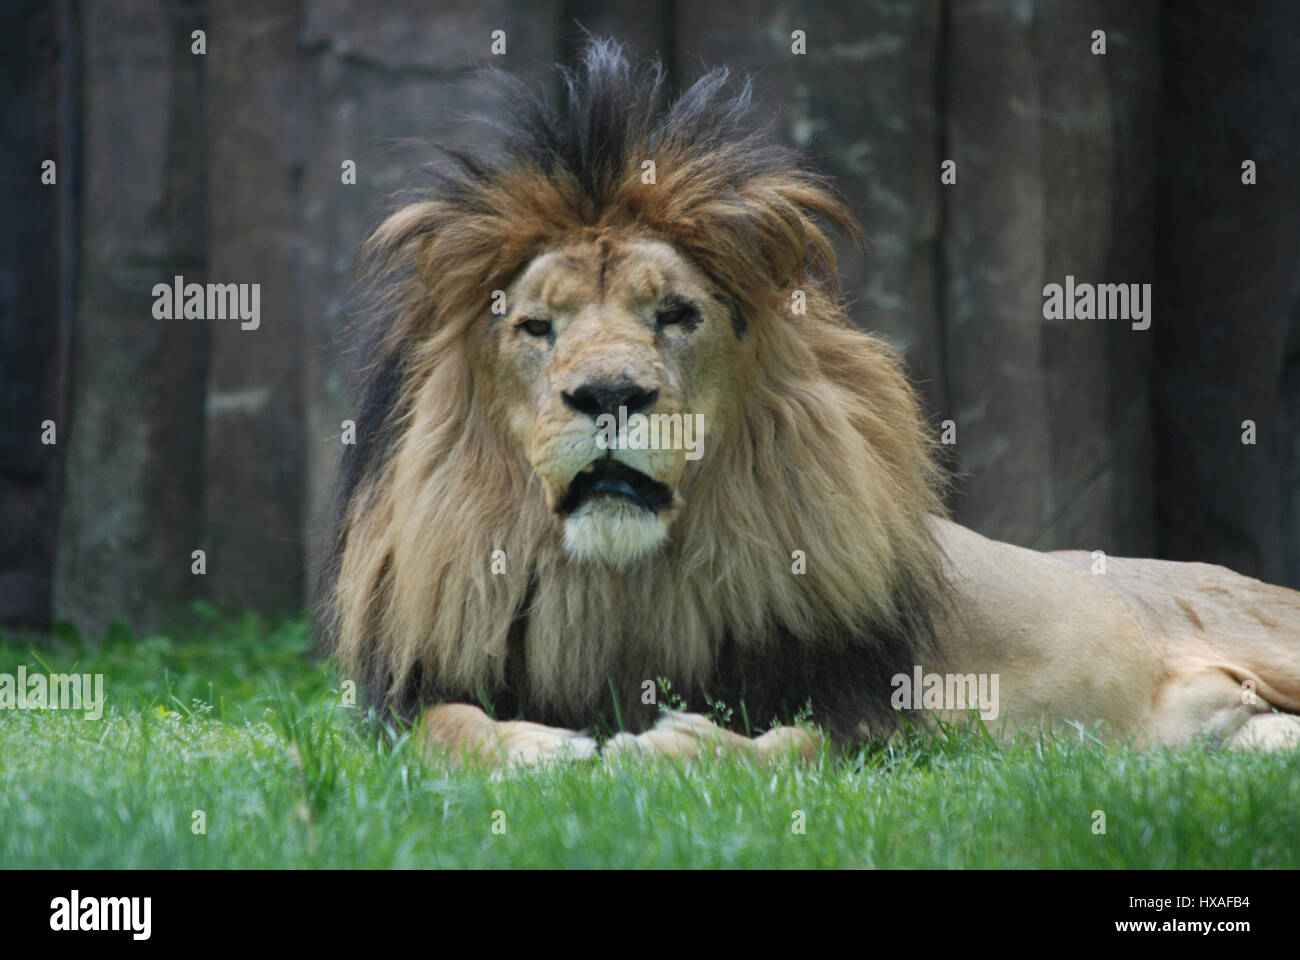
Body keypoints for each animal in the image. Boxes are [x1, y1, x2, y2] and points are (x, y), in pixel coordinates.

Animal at [319, 39, 1300, 767]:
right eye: (537, 326)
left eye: (675, 315)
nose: (610, 394)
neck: (623, 591)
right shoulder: (399, 703)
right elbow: (442, 730)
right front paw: (541, 750)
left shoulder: (887, 721)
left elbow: (784, 750)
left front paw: (667, 750)